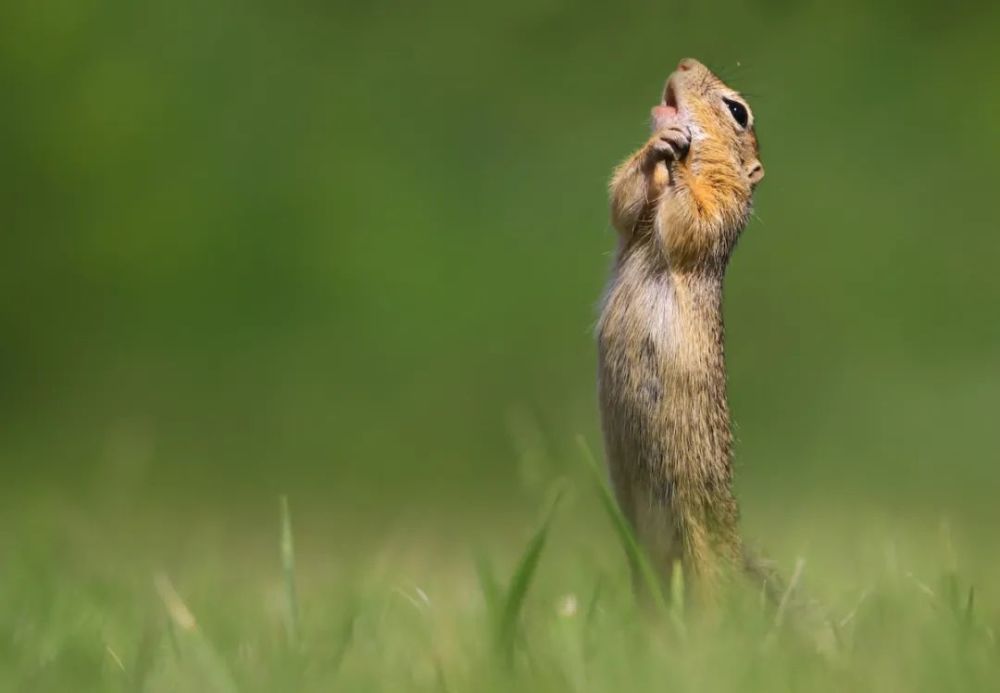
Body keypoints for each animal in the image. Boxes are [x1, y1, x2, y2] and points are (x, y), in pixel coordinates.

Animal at [600, 58, 764, 600]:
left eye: (738, 111)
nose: (684, 63)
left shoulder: (722, 206)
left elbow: (692, 219)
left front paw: (675, 153)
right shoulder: (632, 219)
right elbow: (625, 201)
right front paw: (658, 146)